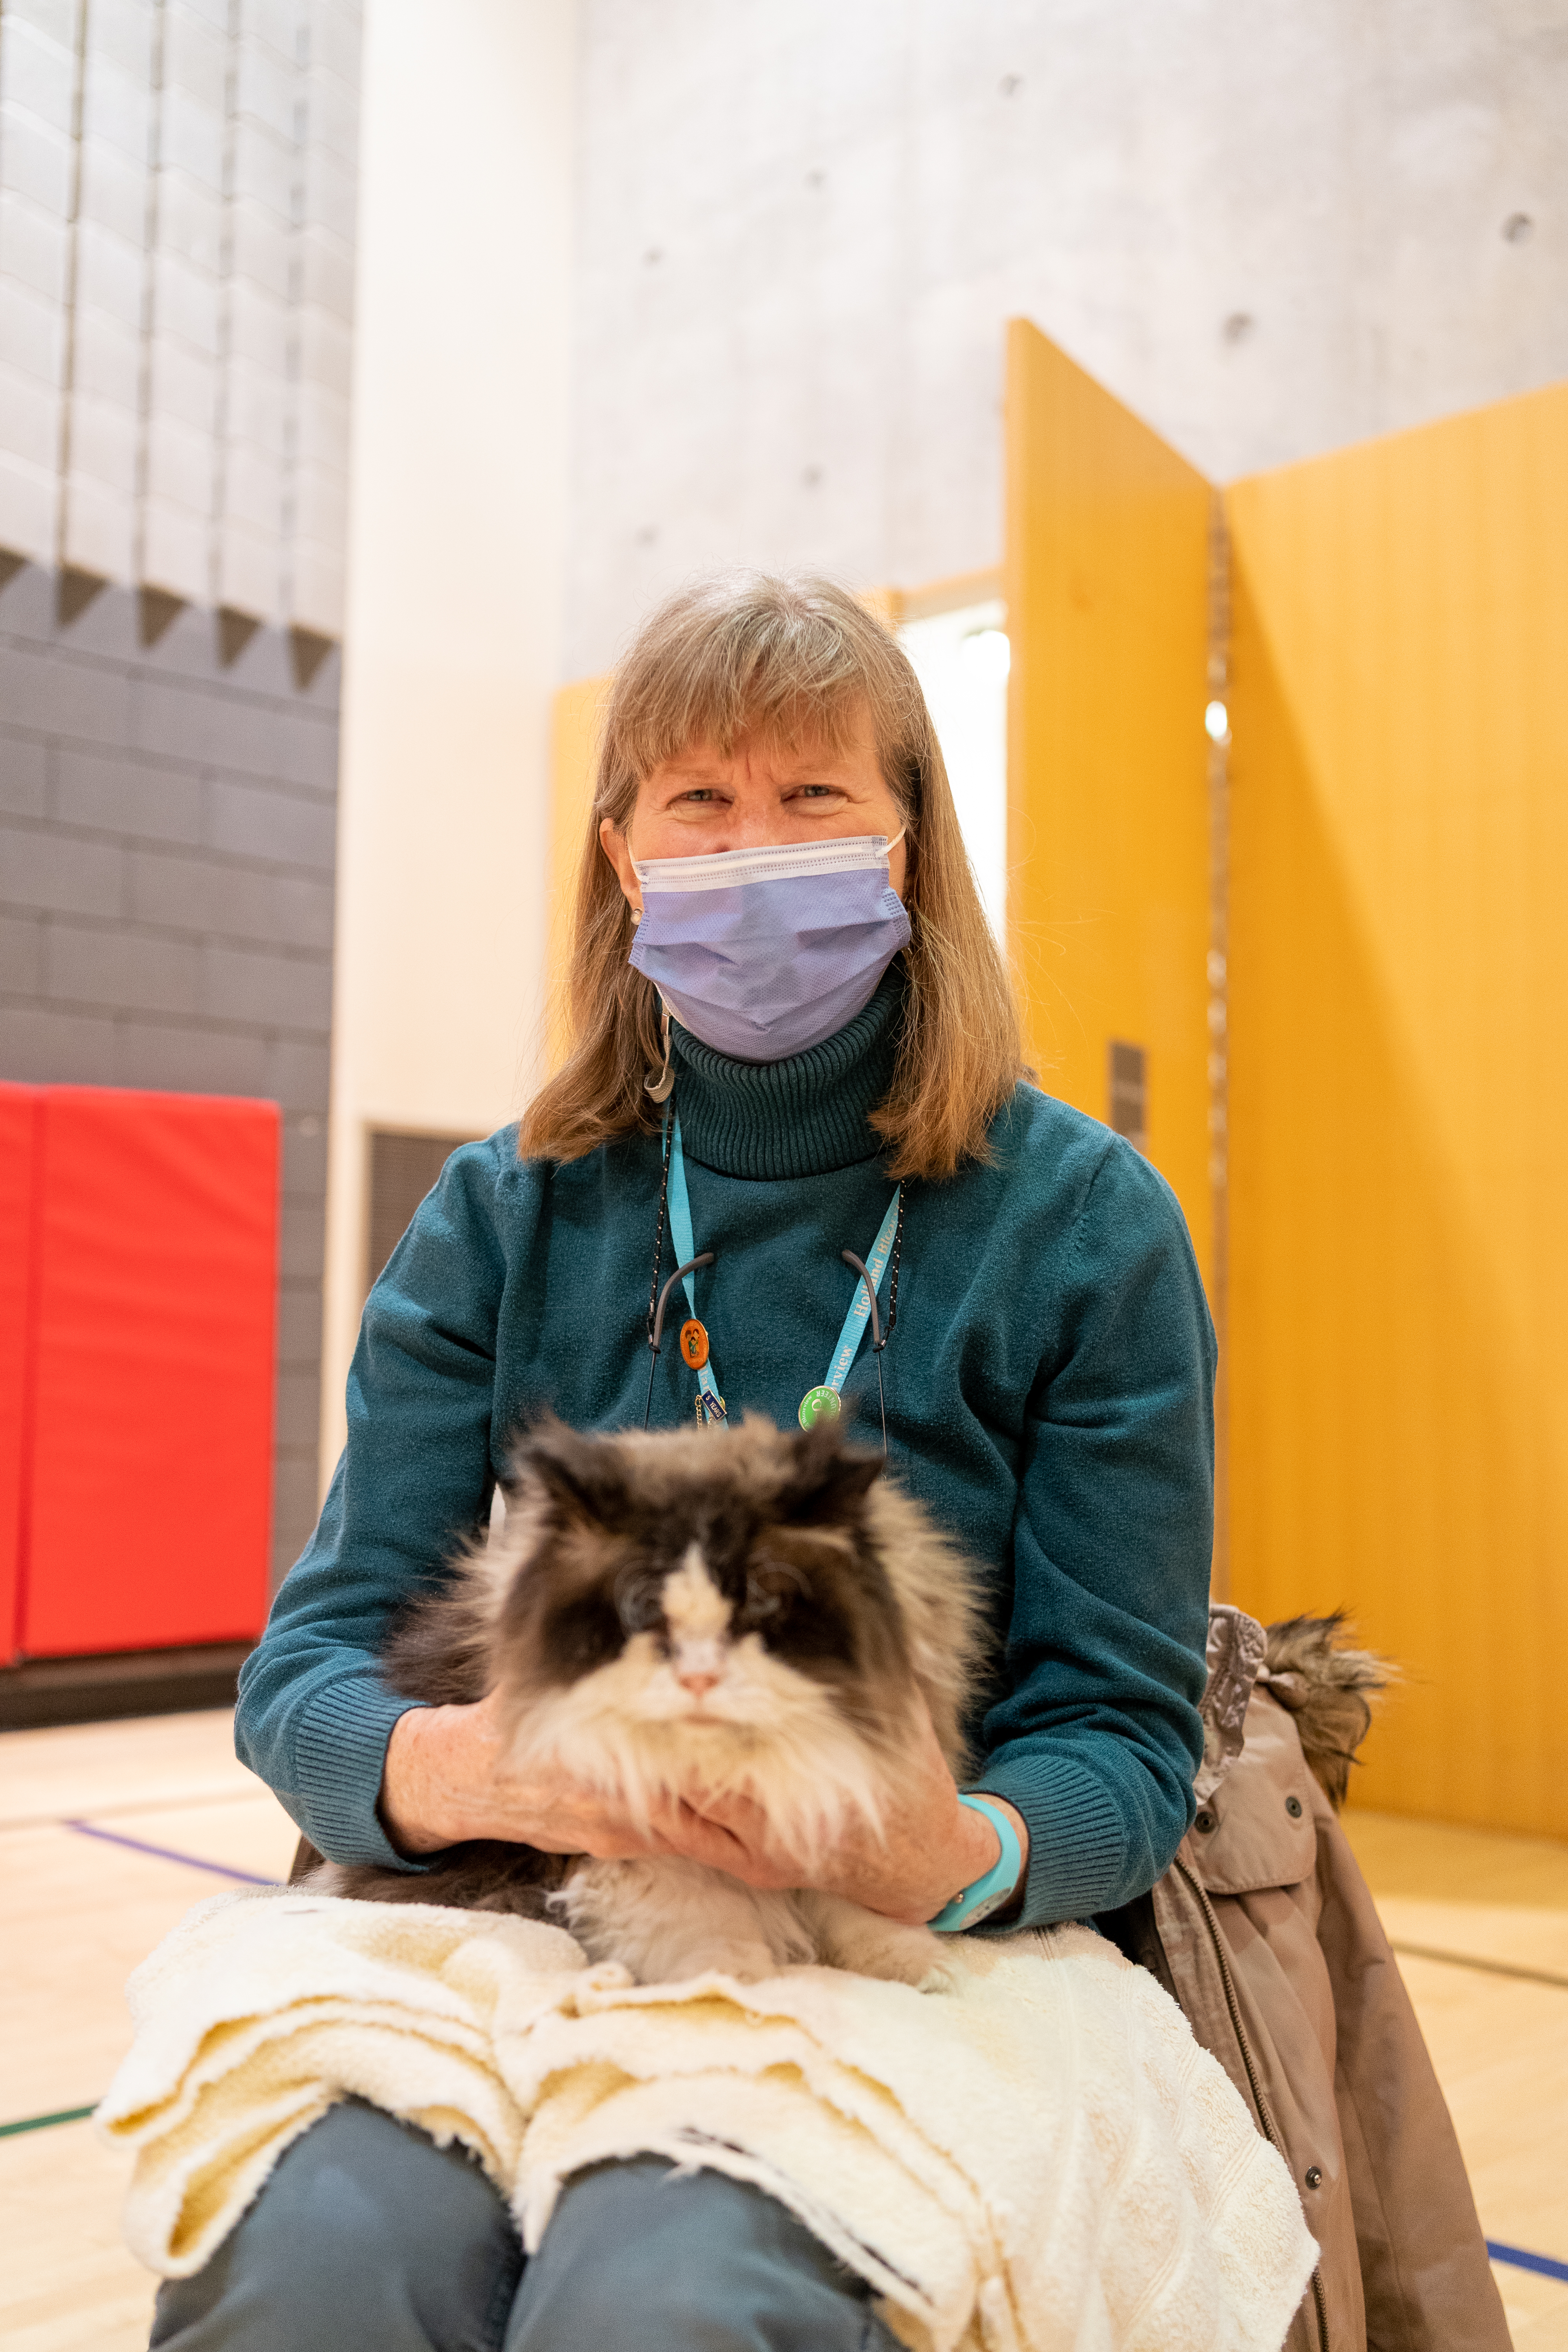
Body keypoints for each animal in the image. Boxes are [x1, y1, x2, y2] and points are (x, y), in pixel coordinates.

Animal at [310, 1411, 982, 1985]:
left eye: (760, 1605)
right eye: (643, 1610)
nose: (700, 1676)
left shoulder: (836, 1801)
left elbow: (858, 1905)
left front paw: (920, 1969)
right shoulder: (637, 1852)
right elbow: (707, 1919)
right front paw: (730, 1982)